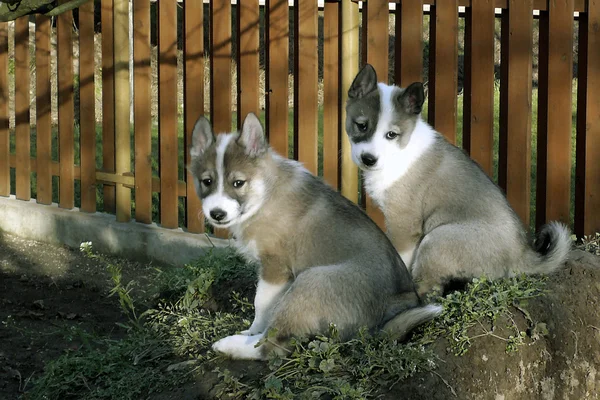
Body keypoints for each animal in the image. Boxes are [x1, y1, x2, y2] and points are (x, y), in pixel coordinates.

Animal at [190, 111, 442, 360]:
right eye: (207, 181)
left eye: (238, 183)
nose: (217, 214)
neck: (264, 195)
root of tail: (379, 324)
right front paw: (252, 330)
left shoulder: (275, 269)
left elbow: (261, 304)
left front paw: (253, 329)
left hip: (310, 281)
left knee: (272, 347)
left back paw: (229, 345)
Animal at [344, 64, 568, 296]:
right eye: (361, 126)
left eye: (391, 135)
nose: (368, 159)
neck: (400, 151)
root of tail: (523, 256)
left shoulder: (403, 224)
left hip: (437, 238)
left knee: (429, 288)